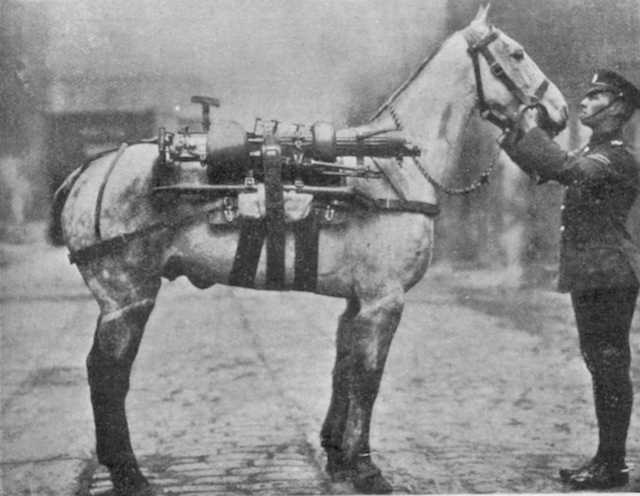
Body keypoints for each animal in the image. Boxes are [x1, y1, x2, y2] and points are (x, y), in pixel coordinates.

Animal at [52, 6, 568, 495]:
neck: (392, 167)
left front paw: (338, 457)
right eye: (517, 54)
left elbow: (345, 370)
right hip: (128, 298)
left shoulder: (358, 301)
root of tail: (92, 167)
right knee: (107, 374)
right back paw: (129, 474)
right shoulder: (384, 300)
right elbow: (369, 378)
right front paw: (367, 468)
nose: (560, 111)